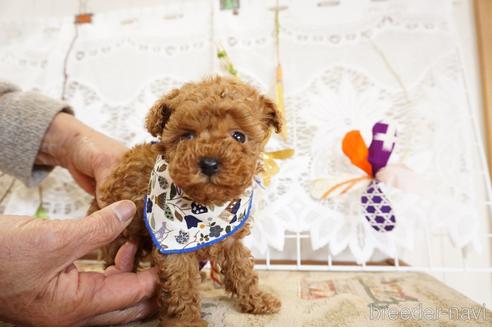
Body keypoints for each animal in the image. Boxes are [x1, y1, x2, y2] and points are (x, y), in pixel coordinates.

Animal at [88, 76, 280, 326]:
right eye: (187, 136)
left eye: (239, 136)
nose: (209, 163)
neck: (205, 208)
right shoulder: (174, 248)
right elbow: (181, 284)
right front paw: (186, 321)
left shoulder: (230, 239)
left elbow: (242, 269)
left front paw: (257, 300)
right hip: (121, 236)